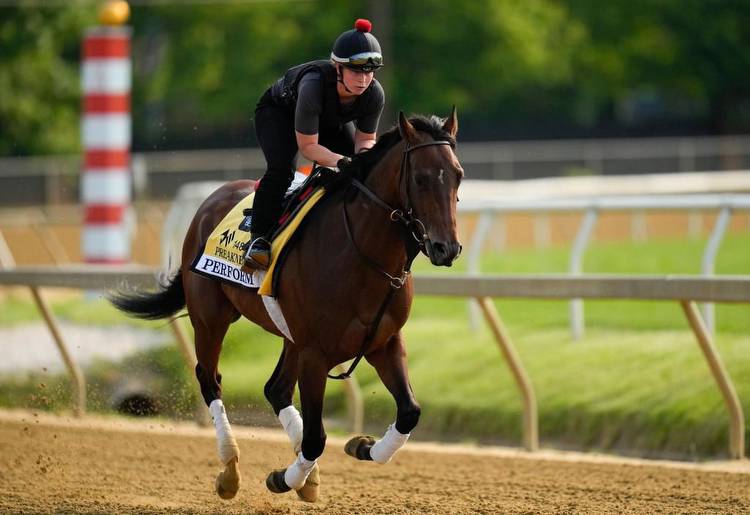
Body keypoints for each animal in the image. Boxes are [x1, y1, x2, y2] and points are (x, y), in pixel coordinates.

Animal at [111, 110, 464, 504]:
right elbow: (316, 437)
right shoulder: (315, 352)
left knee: (275, 388)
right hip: (210, 318)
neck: (363, 255)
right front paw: (285, 477)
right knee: (210, 379)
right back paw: (230, 470)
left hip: (289, 334)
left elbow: (409, 412)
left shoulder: (383, 342)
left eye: (458, 175)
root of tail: (213, 197)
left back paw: (305, 476)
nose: (446, 248)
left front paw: (360, 446)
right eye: (420, 178)